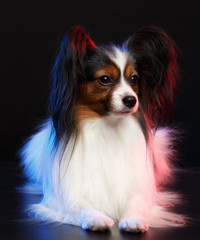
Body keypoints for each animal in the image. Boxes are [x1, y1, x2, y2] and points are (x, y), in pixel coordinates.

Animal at [19, 25, 185, 232]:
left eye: (134, 79)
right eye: (105, 79)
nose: (131, 100)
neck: (108, 126)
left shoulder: (138, 189)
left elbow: (137, 203)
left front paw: (134, 218)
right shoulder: (63, 198)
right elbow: (80, 205)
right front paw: (96, 217)